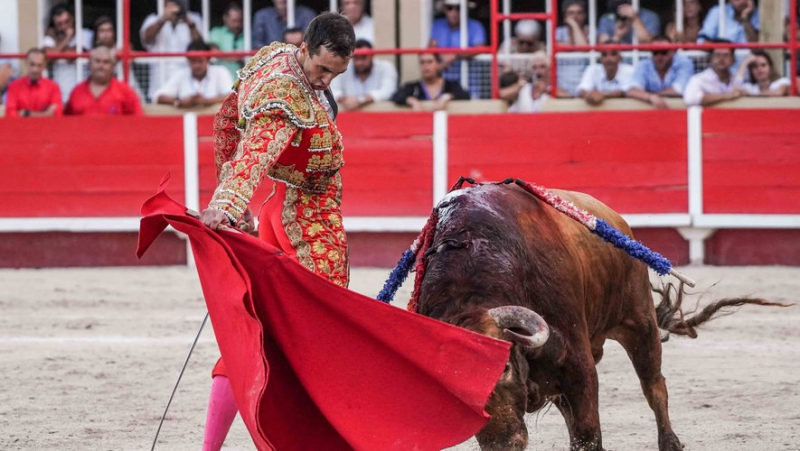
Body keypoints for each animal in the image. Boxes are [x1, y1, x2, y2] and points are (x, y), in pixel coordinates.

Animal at [416, 181, 784, 451]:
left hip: (639, 322)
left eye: (504, 367)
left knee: (655, 386)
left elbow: (587, 437)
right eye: (450, 388)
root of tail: (616, 220)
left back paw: (671, 443)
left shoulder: (578, 365)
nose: (502, 445)